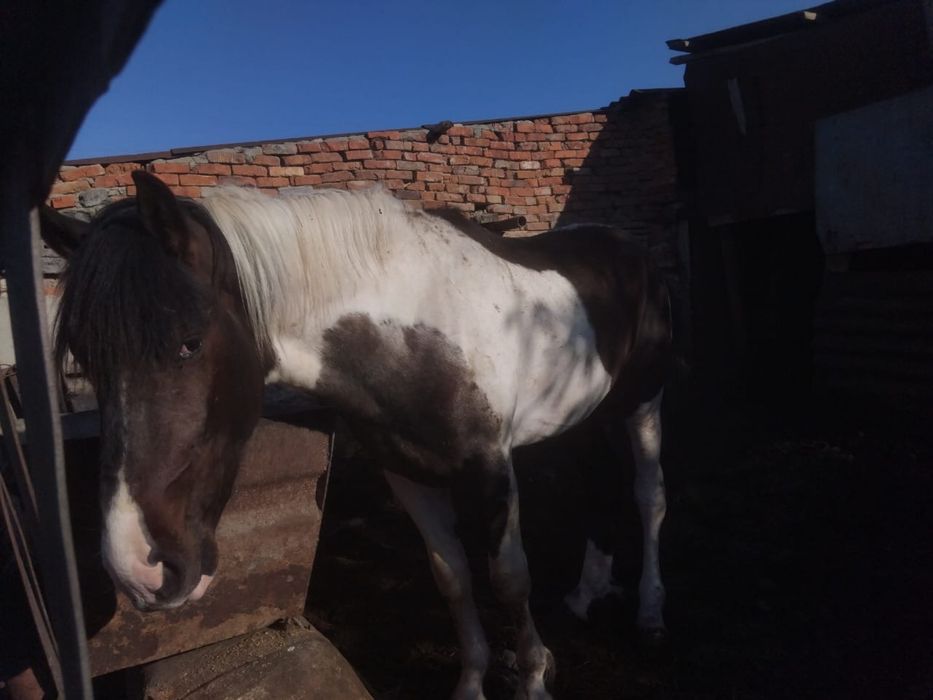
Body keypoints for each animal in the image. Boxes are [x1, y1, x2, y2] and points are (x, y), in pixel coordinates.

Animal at [40, 169, 671, 700]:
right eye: (85, 361)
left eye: (188, 342)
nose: (138, 567)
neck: (411, 333)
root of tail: (627, 247)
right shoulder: (408, 474)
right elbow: (453, 578)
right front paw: (473, 683)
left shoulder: (492, 469)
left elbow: (509, 579)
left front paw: (536, 679)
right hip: (583, 415)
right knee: (596, 486)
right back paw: (588, 594)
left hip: (643, 401)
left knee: (649, 496)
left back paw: (650, 613)